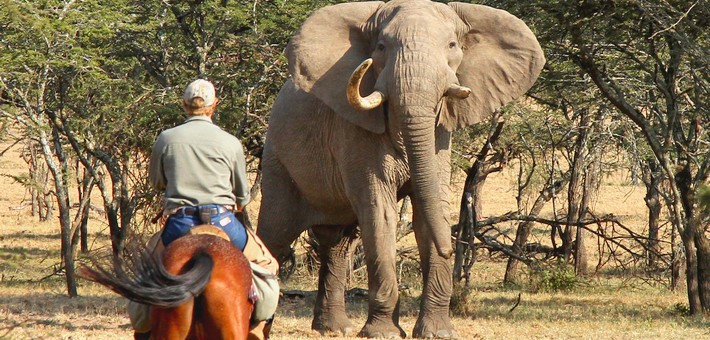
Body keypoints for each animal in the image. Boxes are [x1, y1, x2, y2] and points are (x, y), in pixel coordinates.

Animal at [258, 0, 548, 338]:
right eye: (381, 47)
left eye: (452, 45)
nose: (452, 249)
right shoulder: (355, 131)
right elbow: (380, 212)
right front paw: (383, 333)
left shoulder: (440, 135)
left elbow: (430, 207)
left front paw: (437, 333)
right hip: (278, 160)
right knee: (274, 236)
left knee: (338, 245)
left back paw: (334, 329)